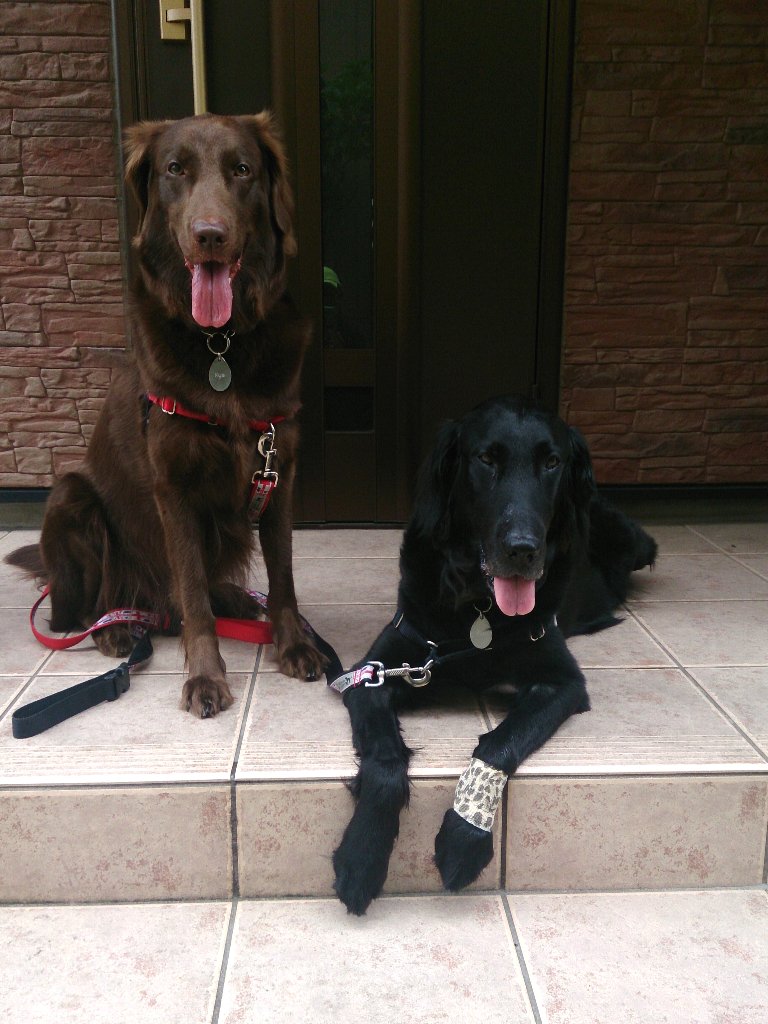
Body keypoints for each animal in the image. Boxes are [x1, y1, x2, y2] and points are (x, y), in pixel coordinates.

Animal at [7, 113, 325, 717]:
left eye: (242, 169)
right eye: (175, 169)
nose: (210, 235)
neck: (221, 343)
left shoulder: (280, 471)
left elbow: (284, 577)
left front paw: (292, 642)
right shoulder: (173, 489)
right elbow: (193, 598)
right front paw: (204, 676)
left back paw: (232, 599)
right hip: (71, 496)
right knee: (91, 604)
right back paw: (113, 628)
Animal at [331, 394, 657, 914]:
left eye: (552, 462)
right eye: (486, 459)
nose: (523, 549)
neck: (479, 609)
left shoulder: (563, 682)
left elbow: (499, 743)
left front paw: (465, 837)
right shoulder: (372, 673)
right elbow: (385, 757)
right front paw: (362, 854)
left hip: (636, 541)